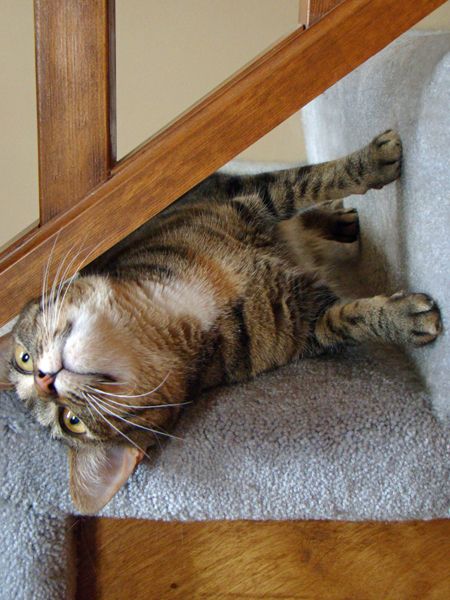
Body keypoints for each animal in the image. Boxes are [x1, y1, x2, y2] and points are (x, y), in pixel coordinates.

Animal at [0, 130, 442, 510]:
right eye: (72, 422)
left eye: (22, 358)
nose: (44, 380)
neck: (171, 310)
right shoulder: (306, 321)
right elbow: (348, 319)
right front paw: (405, 318)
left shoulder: (249, 205)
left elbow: (301, 182)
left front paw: (371, 161)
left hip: (212, 186)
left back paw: (336, 218)